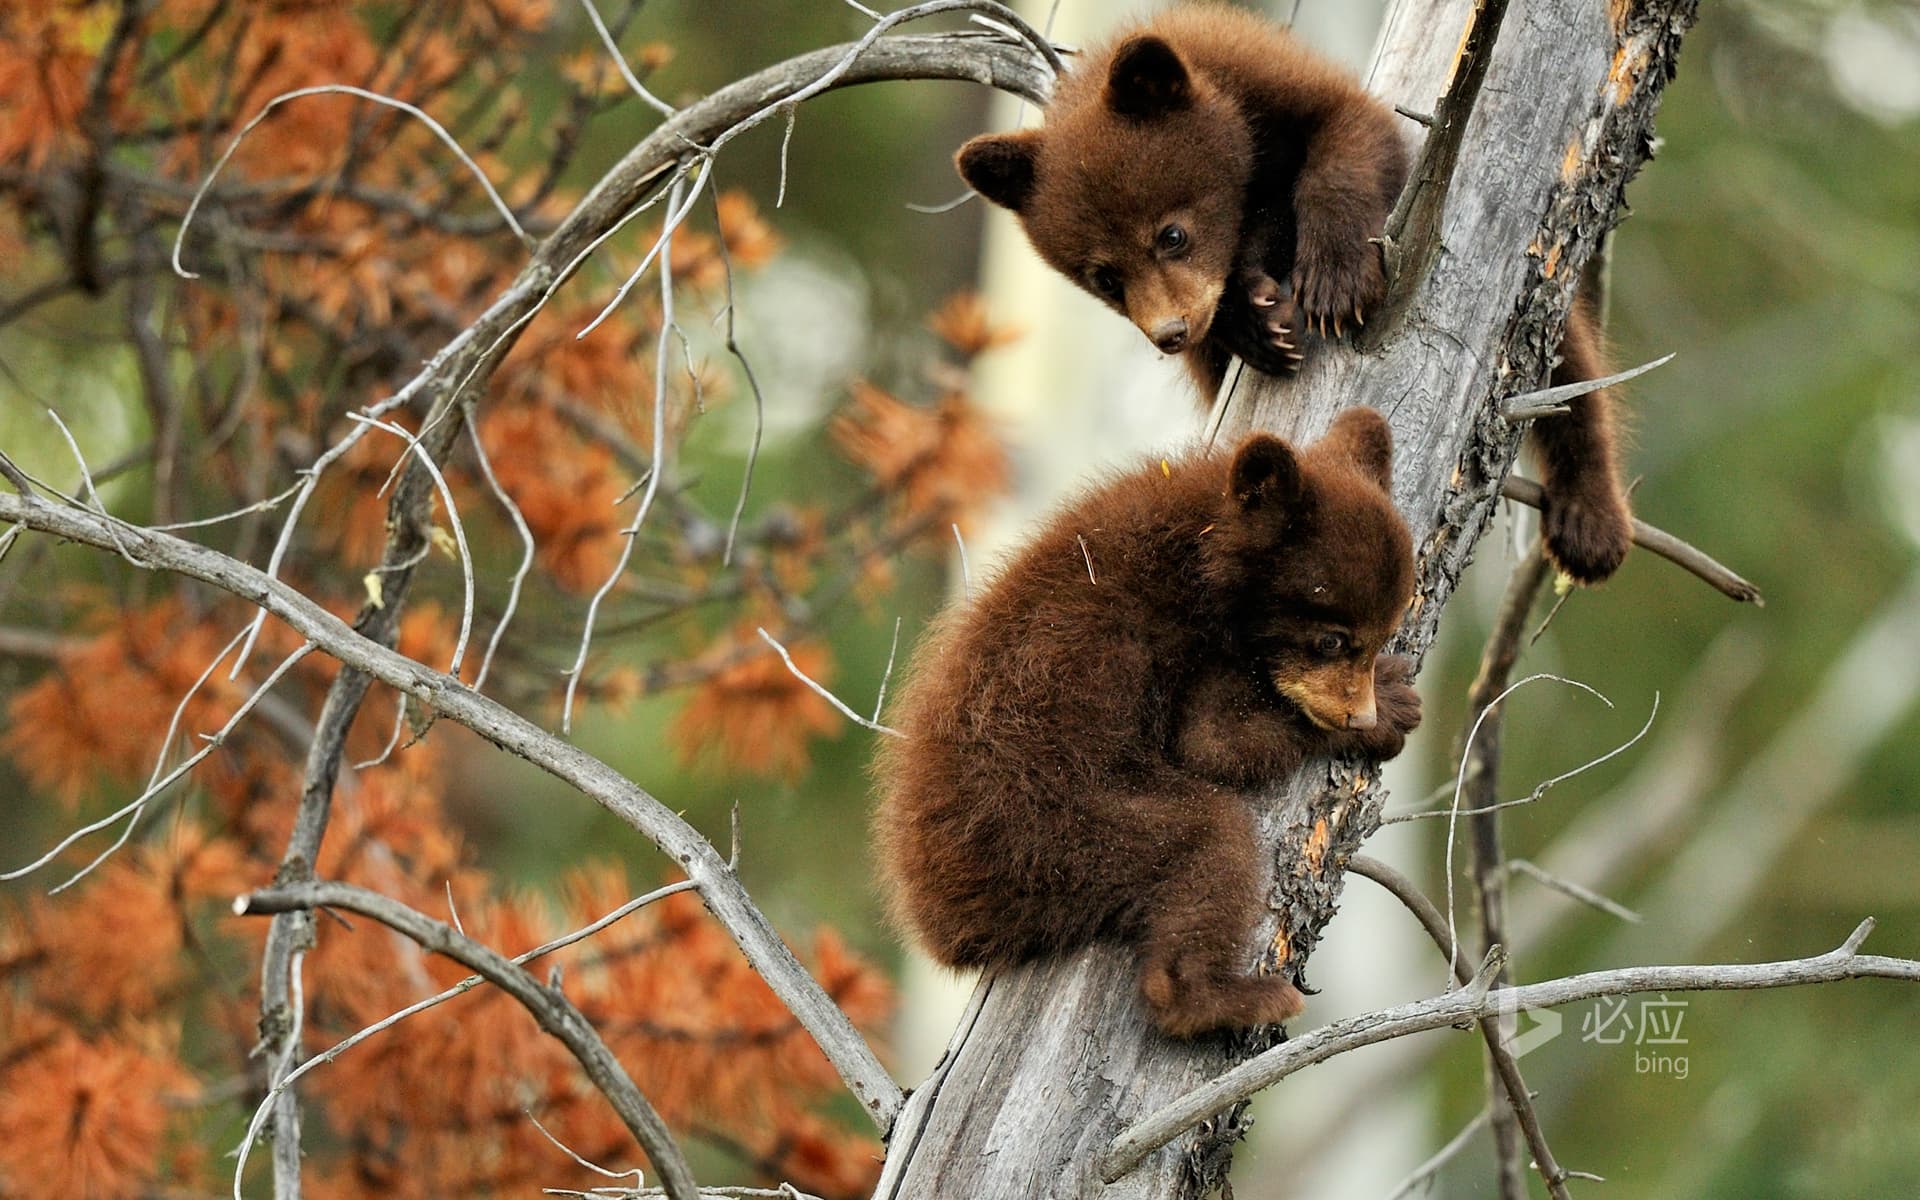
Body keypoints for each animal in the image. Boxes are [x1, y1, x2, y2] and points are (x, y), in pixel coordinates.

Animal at [872, 407, 1422, 1037]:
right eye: (1332, 639)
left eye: (1382, 632)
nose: (1359, 710)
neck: (1203, 549)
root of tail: (936, 923)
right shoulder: (1185, 641)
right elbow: (1214, 742)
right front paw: (1391, 707)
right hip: (1050, 834)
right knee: (1211, 836)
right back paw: (1224, 997)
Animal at [954, 2, 1633, 585]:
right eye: (1105, 278)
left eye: (1171, 234)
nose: (1171, 333)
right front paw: (1256, 322)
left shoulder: (1289, 91)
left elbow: (1354, 137)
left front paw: (1335, 280)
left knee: (1568, 370)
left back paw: (1589, 522)